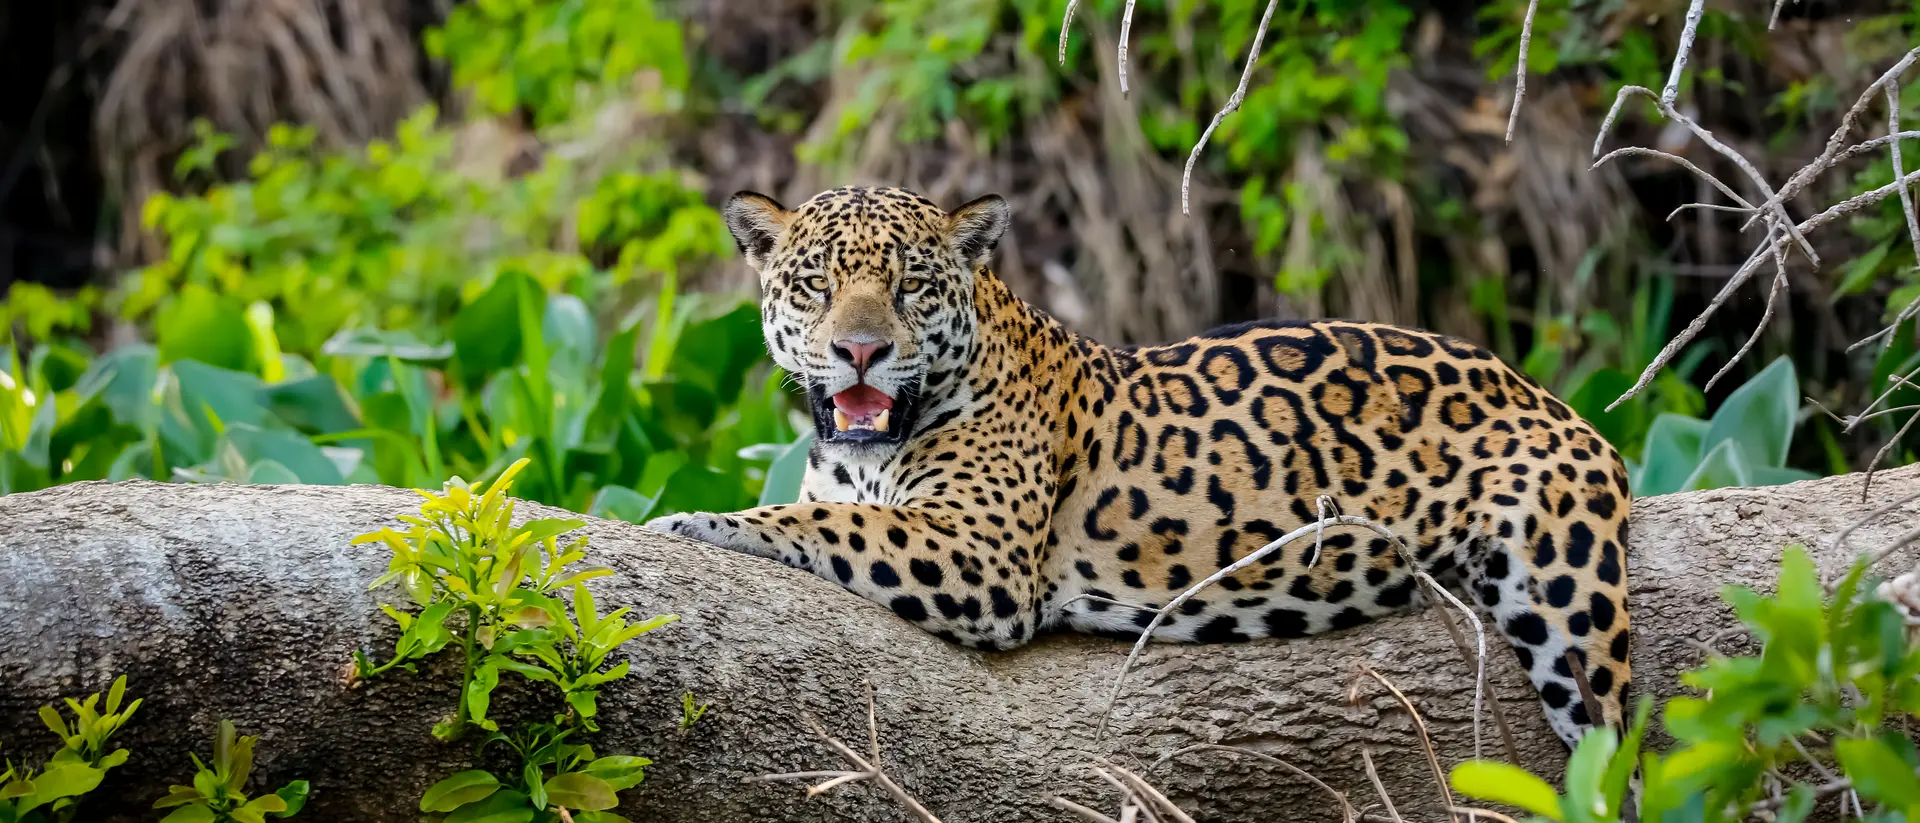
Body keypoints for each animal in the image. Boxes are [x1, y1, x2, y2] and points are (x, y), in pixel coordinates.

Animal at [645, 185, 1632, 750]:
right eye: (815, 284)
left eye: (910, 287)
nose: (860, 351)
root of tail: (1545, 391)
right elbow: (823, 509)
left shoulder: (982, 556)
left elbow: (821, 521)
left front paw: (693, 522)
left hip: (1569, 602)